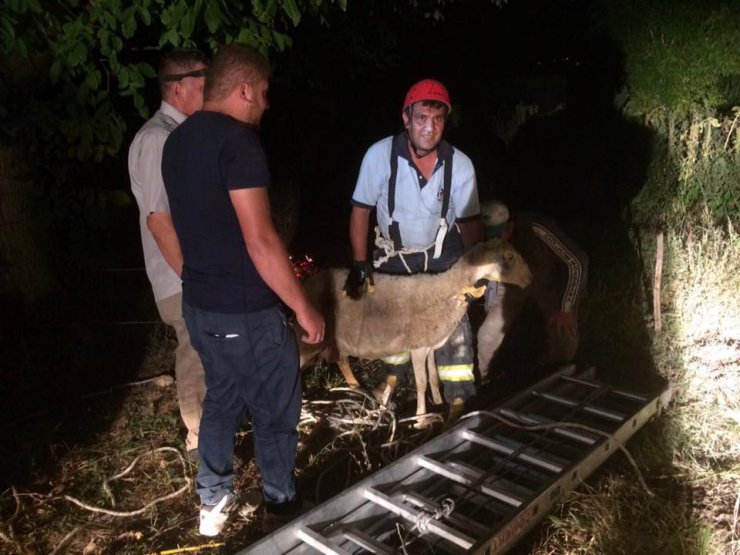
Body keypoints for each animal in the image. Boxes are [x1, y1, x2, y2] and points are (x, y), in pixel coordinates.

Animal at [296, 239, 532, 416]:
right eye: (509, 257)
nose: (530, 279)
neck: (448, 289)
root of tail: (309, 282)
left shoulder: (429, 346)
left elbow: (434, 377)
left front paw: (438, 403)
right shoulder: (417, 347)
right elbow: (421, 383)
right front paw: (421, 416)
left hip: (338, 340)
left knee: (343, 362)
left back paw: (358, 389)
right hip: (310, 338)